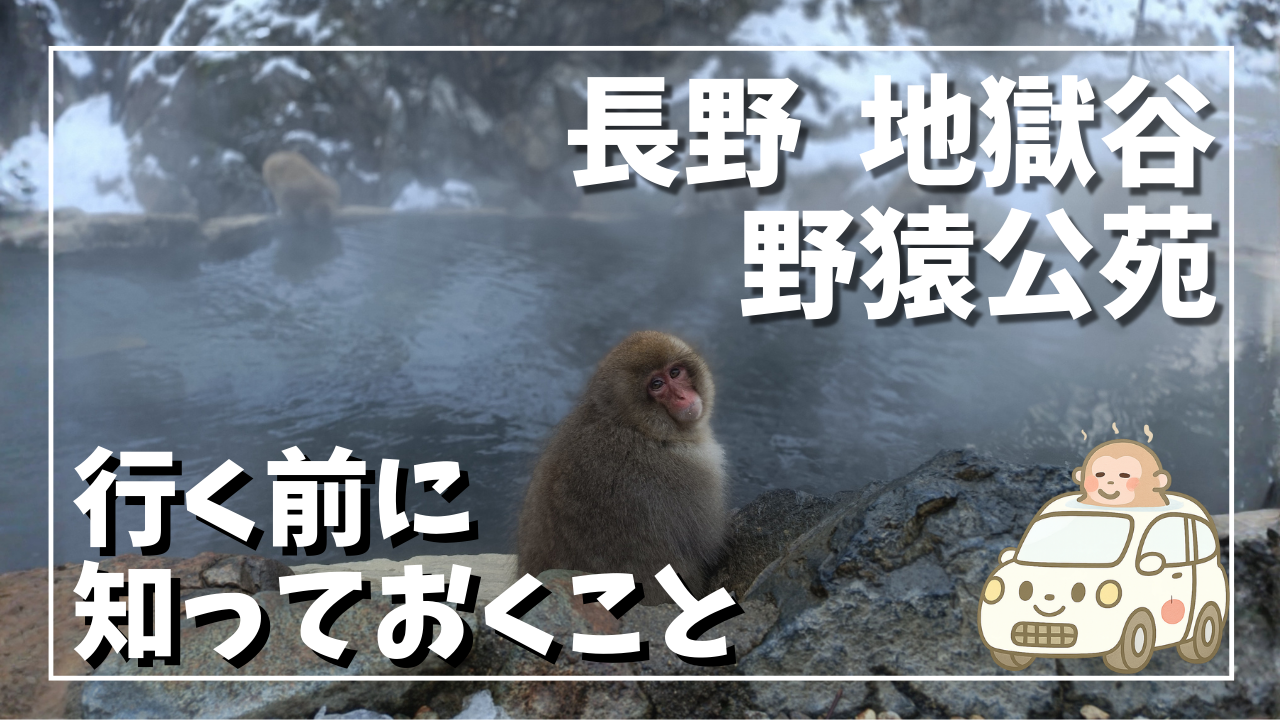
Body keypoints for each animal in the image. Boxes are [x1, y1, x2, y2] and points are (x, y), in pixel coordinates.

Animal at [516, 331, 728, 605]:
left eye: (675, 372)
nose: (683, 397)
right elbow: (708, 545)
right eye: (656, 384)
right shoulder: (693, 473)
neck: (634, 426)